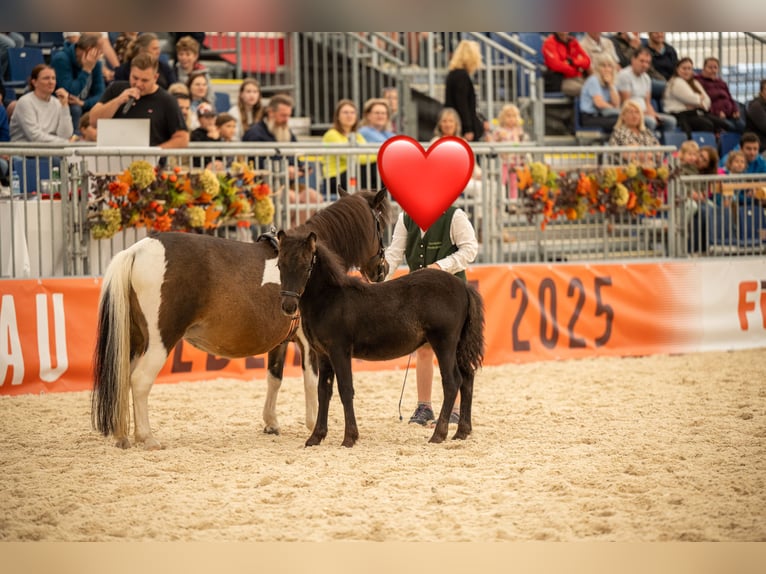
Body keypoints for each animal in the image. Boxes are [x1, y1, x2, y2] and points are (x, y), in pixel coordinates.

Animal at [92, 188, 391, 449]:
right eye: (381, 225)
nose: (382, 269)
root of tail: (136, 250)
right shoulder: (309, 344)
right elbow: (312, 383)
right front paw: (312, 426)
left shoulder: (281, 341)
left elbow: (274, 378)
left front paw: (271, 423)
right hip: (160, 341)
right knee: (140, 381)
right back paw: (148, 438)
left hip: (134, 341)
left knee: (123, 378)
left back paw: (123, 436)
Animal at [276, 229, 485, 447]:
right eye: (280, 264)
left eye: (306, 266)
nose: (288, 306)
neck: (329, 299)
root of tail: (463, 287)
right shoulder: (323, 354)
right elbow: (323, 391)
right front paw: (316, 437)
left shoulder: (340, 351)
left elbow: (345, 389)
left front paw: (349, 437)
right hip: (458, 346)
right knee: (467, 379)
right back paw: (461, 431)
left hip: (444, 344)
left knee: (452, 382)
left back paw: (439, 434)